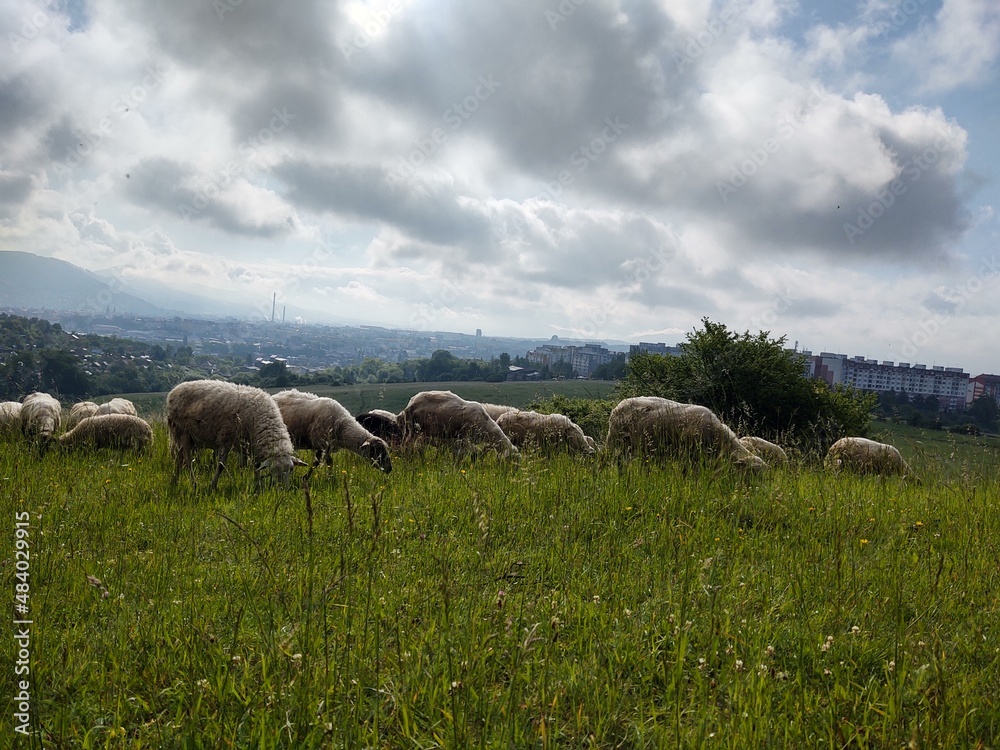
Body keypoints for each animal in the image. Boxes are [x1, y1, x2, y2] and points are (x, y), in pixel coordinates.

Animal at [166, 380, 306, 490]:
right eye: (273, 470)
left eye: (291, 469)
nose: (283, 490)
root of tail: (174, 391)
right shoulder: (226, 439)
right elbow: (221, 466)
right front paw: (213, 486)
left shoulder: (250, 444)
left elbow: (256, 466)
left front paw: (258, 486)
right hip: (182, 432)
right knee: (188, 460)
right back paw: (193, 484)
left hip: (191, 439)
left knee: (179, 457)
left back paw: (174, 481)